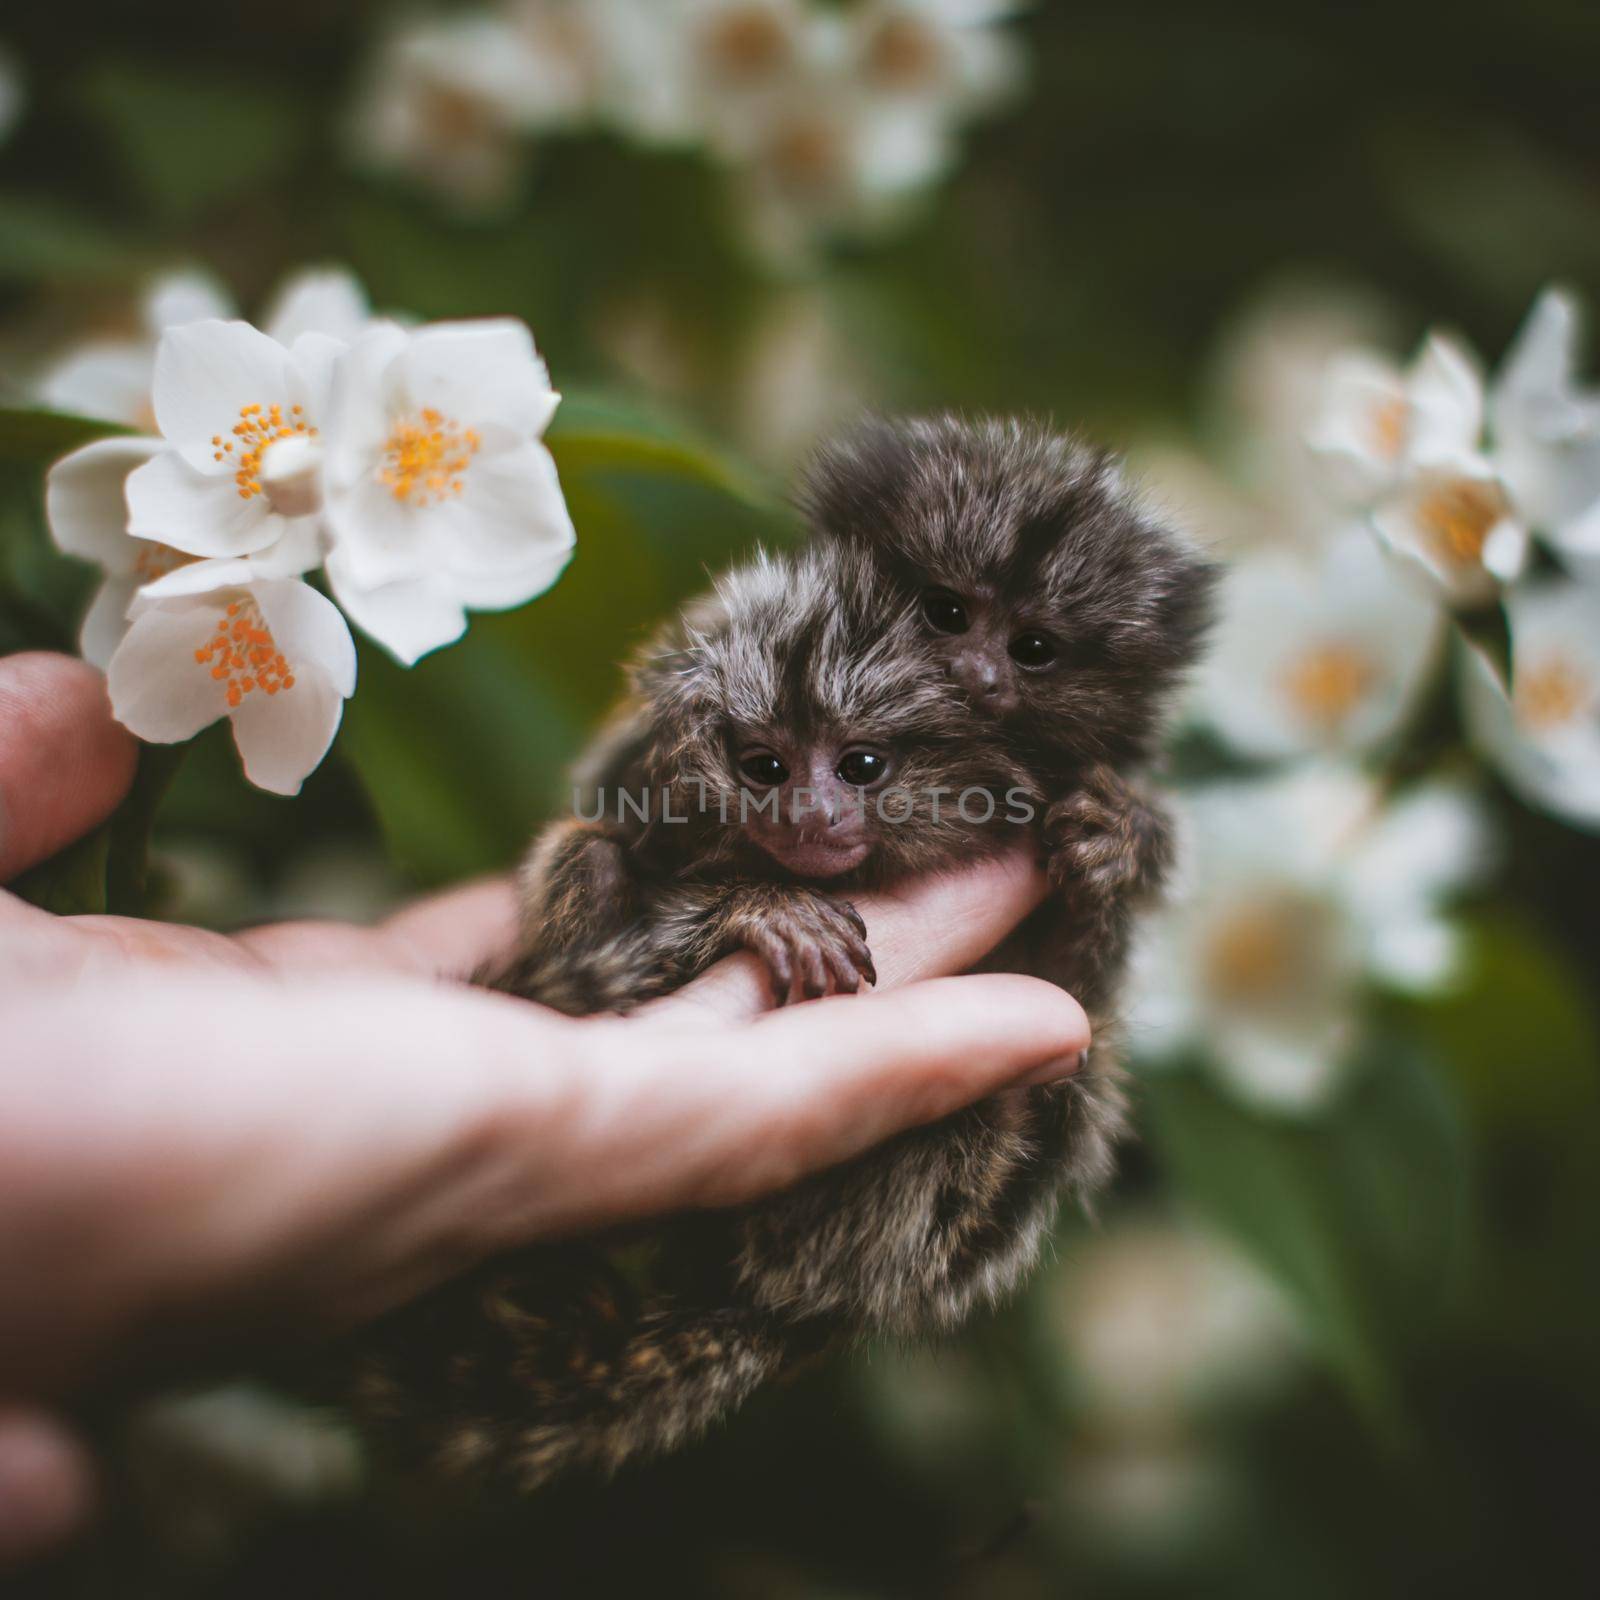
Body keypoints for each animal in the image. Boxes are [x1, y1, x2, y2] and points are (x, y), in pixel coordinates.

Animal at [334, 412, 1209, 1484]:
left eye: (1034, 647)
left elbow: (1089, 964)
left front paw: (1120, 836)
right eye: (946, 612)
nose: (981, 677)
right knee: (587, 859)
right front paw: (764, 906)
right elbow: (623, 819)